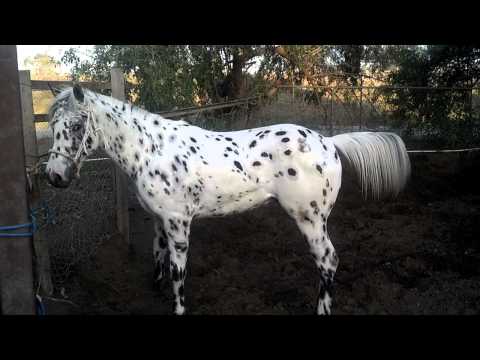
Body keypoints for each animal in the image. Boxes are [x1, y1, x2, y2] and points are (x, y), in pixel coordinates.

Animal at [47, 84, 410, 316]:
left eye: (77, 125)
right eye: (52, 125)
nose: (54, 176)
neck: (153, 151)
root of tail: (329, 142)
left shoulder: (178, 223)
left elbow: (178, 272)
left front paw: (178, 307)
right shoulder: (159, 221)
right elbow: (158, 258)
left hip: (311, 220)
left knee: (328, 262)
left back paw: (321, 310)